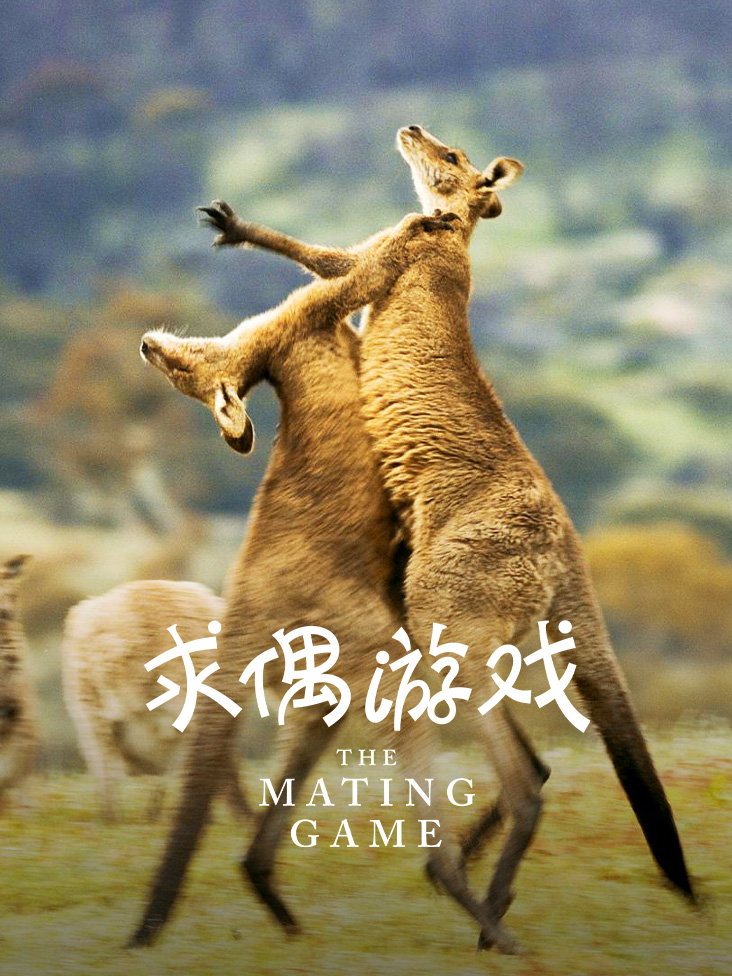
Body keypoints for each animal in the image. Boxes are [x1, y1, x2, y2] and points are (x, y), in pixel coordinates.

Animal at [196, 125, 695, 952]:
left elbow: (327, 272)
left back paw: (484, 915)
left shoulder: (385, 255)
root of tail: (567, 551)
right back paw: (486, 900)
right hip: (474, 624)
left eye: (452, 155)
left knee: (523, 778)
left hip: (447, 604)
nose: (411, 129)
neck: (452, 231)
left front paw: (236, 240)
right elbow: (324, 261)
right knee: (530, 767)